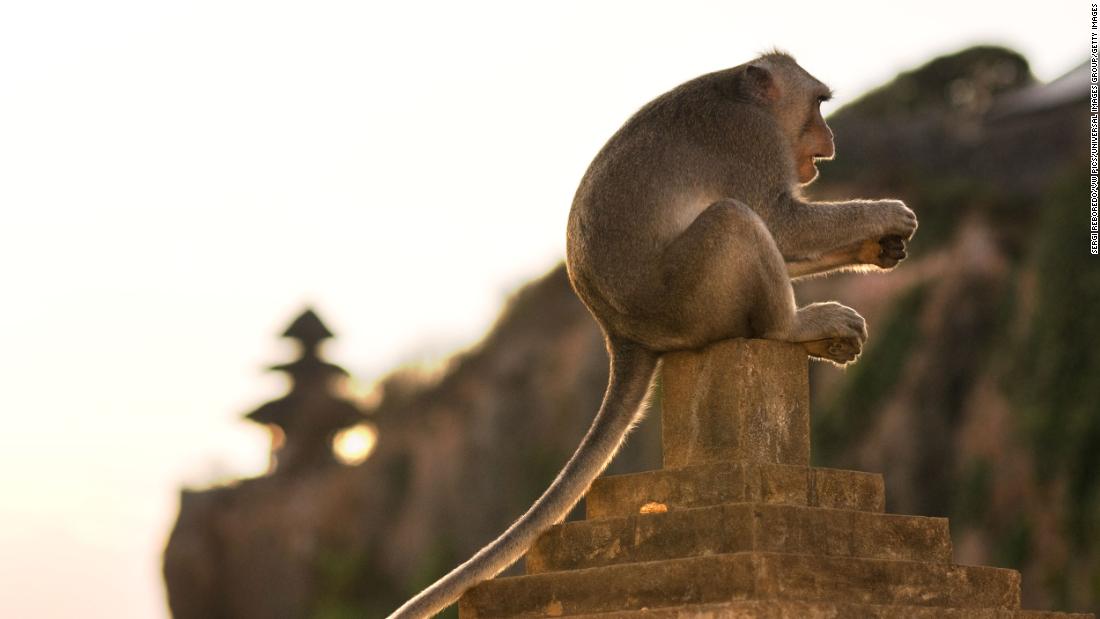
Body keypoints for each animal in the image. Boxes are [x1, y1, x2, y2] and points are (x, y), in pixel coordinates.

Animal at [389, 50, 919, 615]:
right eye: (818, 104)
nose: (831, 138)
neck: (750, 100)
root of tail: (622, 336)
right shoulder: (750, 140)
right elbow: (781, 222)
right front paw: (888, 214)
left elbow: (788, 240)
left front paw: (877, 247)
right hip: (687, 300)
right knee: (734, 219)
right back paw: (793, 326)